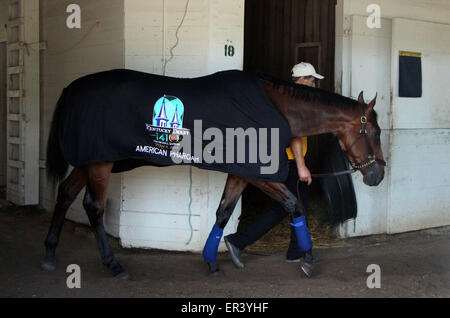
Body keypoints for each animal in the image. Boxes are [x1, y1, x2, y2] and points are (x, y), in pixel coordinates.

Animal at [42, 71, 384, 278]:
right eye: (375, 132)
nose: (378, 175)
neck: (275, 109)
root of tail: (72, 88)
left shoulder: (242, 172)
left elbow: (223, 212)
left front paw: (213, 258)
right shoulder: (260, 175)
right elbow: (293, 204)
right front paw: (309, 258)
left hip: (88, 161)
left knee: (65, 194)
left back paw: (49, 254)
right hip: (100, 163)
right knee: (93, 206)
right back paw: (113, 264)